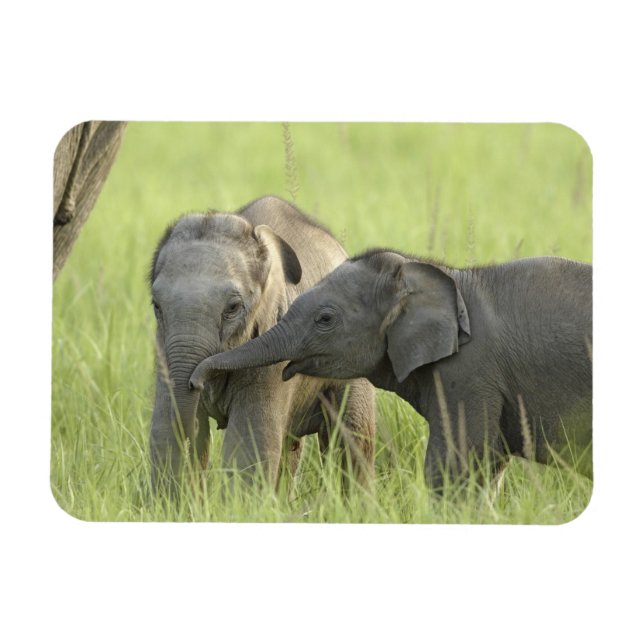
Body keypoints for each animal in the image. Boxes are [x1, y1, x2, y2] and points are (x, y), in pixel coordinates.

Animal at [149, 196, 375, 492]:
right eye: (156, 306)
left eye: (232, 308)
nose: (195, 382)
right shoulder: (163, 345)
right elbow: (164, 431)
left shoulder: (273, 346)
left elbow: (248, 447)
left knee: (352, 438)